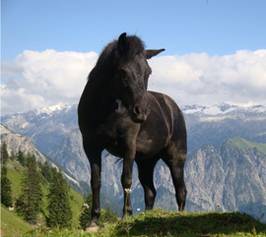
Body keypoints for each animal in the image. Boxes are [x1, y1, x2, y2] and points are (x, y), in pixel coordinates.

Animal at [78, 32, 187, 227]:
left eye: (148, 72)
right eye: (123, 71)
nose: (141, 112)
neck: (105, 110)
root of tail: (172, 106)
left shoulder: (128, 145)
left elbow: (126, 179)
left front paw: (126, 215)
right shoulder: (91, 146)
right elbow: (95, 181)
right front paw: (94, 220)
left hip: (176, 159)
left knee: (181, 190)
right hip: (146, 162)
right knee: (150, 192)